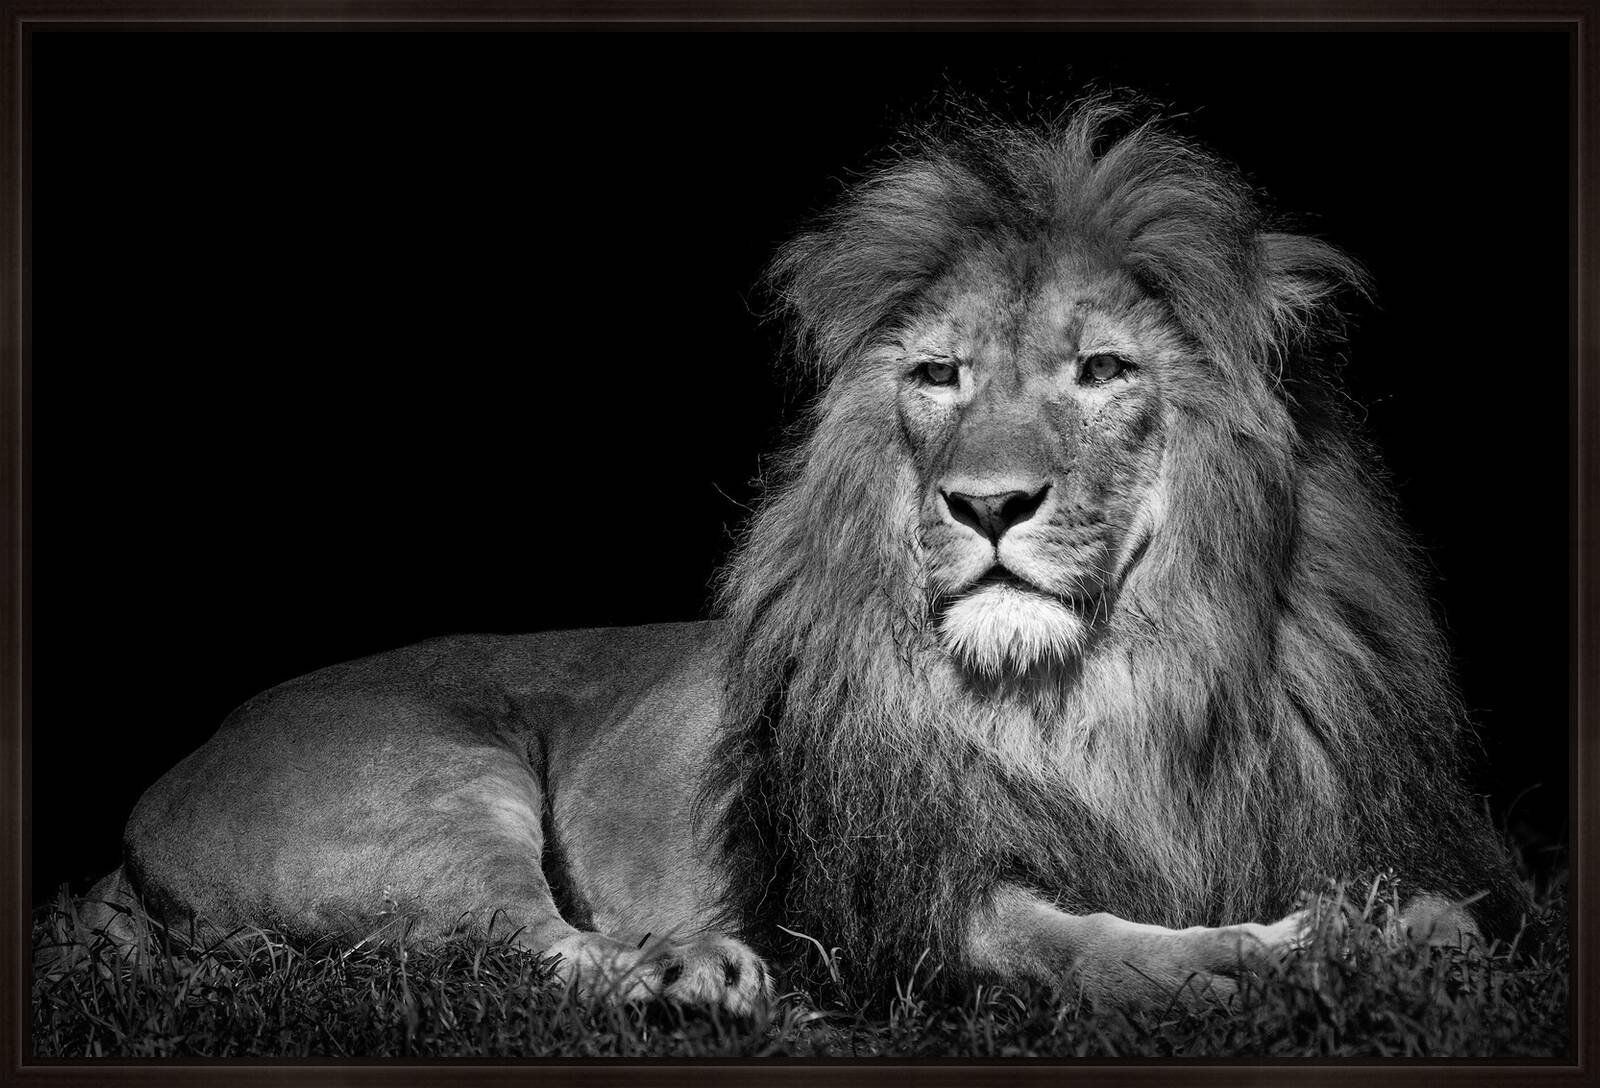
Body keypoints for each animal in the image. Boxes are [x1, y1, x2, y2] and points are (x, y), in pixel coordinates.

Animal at [72, 100, 1526, 1015]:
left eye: (1104, 370)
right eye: (938, 377)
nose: (985, 504)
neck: (1107, 690)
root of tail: (170, 777)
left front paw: (1413, 925)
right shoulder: (911, 903)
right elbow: (1087, 948)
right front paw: (1279, 953)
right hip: (429, 790)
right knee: (517, 944)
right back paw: (686, 977)